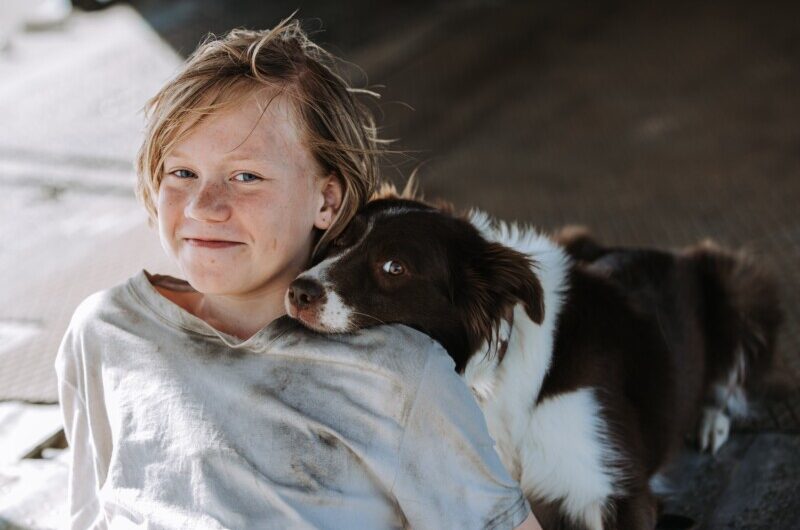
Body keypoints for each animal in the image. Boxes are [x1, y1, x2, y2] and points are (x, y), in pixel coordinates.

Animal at [286, 194, 780, 528]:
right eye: (335, 242)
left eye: (394, 267)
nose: (297, 291)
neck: (494, 382)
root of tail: (671, 251)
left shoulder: (617, 488)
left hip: (740, 286)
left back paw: (712, 421)